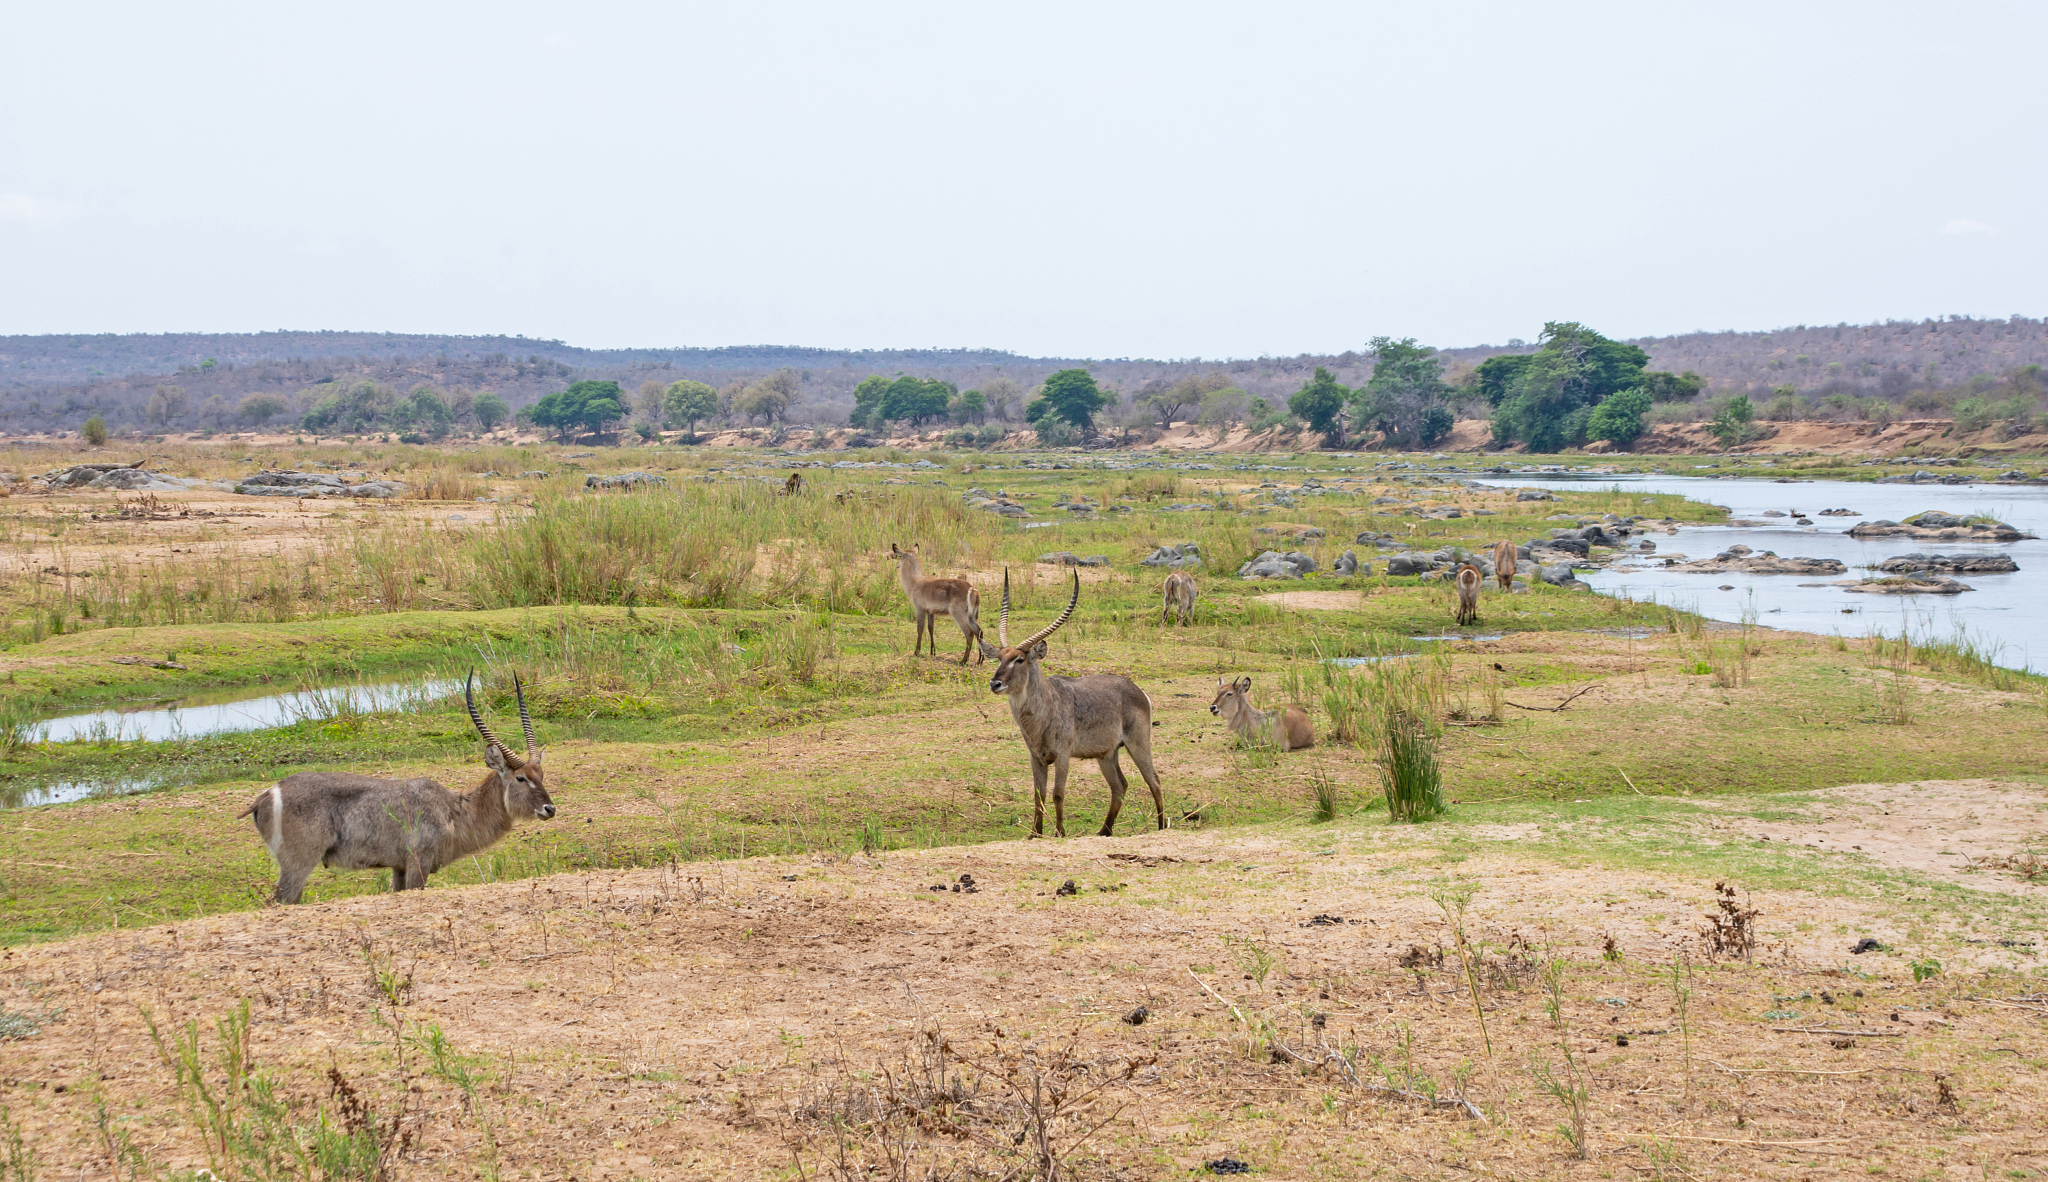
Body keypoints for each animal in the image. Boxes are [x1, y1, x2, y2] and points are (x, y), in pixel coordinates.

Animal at [240, 671, 556, 904]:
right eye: (520, 778)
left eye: (541, 774)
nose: (549, 808)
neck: (454, 811)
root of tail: (266, 796)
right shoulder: (418, 863)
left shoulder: (399, 867)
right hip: (298, 863)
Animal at [979, 570, 1167, 838]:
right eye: (1000, 658)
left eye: (1020, 659)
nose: (995, 683)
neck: (1044, 710)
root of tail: (1136, 689)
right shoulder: (1036, 757)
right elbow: (1038, 795)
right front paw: (1035, 834)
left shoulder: (1063, 755)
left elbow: (1058, 794)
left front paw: (1059, 833)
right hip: (1107, 754)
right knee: (1120, 785)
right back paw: (1104, 831)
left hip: (1138, 743)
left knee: (1154, 781)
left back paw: (1160, 827)